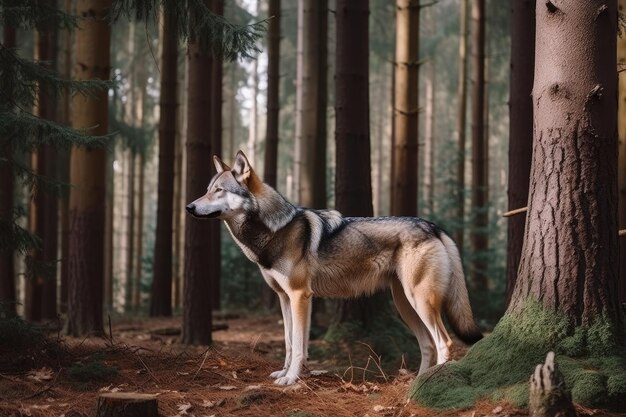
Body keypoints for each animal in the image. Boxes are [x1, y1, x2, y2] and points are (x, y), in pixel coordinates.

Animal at [185, 151, 482, 386]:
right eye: (208, 188)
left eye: (219, 190)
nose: (188, 206)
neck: (275, 229)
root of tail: (434, 226)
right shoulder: (284, 298)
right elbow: (290, 342)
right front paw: (285, 373)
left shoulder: (300, 296)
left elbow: (299, 345)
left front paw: (291, 379)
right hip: (405, 305)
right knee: (428, 345)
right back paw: (418, 383)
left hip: (419, 301)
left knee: (444, 343)